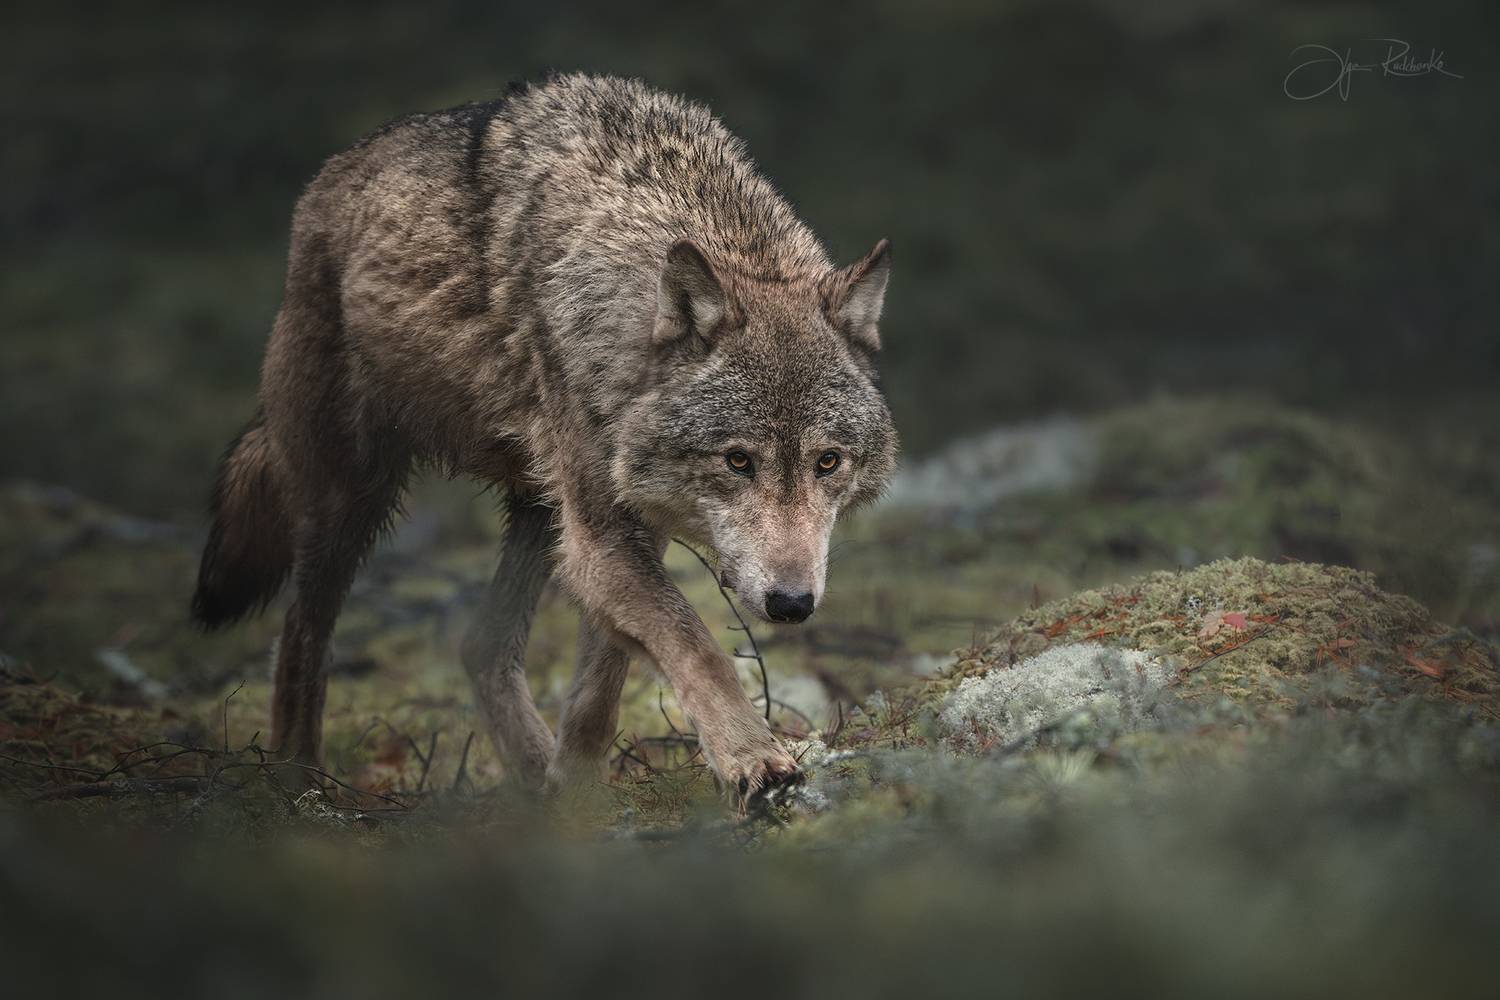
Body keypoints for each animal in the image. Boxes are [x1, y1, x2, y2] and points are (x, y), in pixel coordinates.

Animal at [191, 73, 897, 805]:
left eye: (827, 462)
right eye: (738, 461)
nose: (792, 604)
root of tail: (327, 178)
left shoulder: (628, 529)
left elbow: (600, 687)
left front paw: (576, 797)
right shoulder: (604, 536)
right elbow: (695, 644)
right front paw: (753, 761)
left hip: (537, 513)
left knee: (478, 644)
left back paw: (533, 786)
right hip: (349, 504)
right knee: (300, 637)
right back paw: (299, 784)